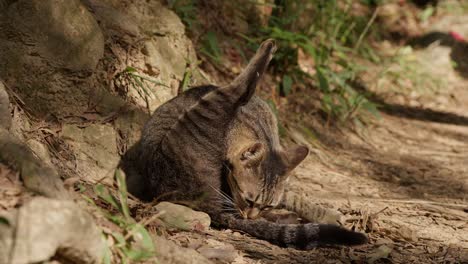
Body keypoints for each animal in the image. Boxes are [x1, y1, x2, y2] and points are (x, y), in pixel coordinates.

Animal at [121, 39, 370, 250]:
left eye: (266, 205)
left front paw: (321, 213)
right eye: (249, 199)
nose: (251, 215)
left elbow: (293, 197)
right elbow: (291, 197)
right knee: (237, 89)